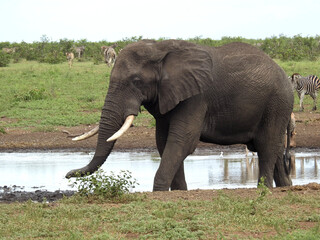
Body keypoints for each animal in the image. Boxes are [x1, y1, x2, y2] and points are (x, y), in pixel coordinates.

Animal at [65, 39, 296, 190]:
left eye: (136, 81)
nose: (67, 175)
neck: (159, 48)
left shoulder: (196, 97)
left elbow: (182, 141)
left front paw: (159, 192)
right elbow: (164, 142)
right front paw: (178, 191)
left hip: (277, 103)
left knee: (266, 147)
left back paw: (264, 190)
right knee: (273, 148)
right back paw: (286, 186)